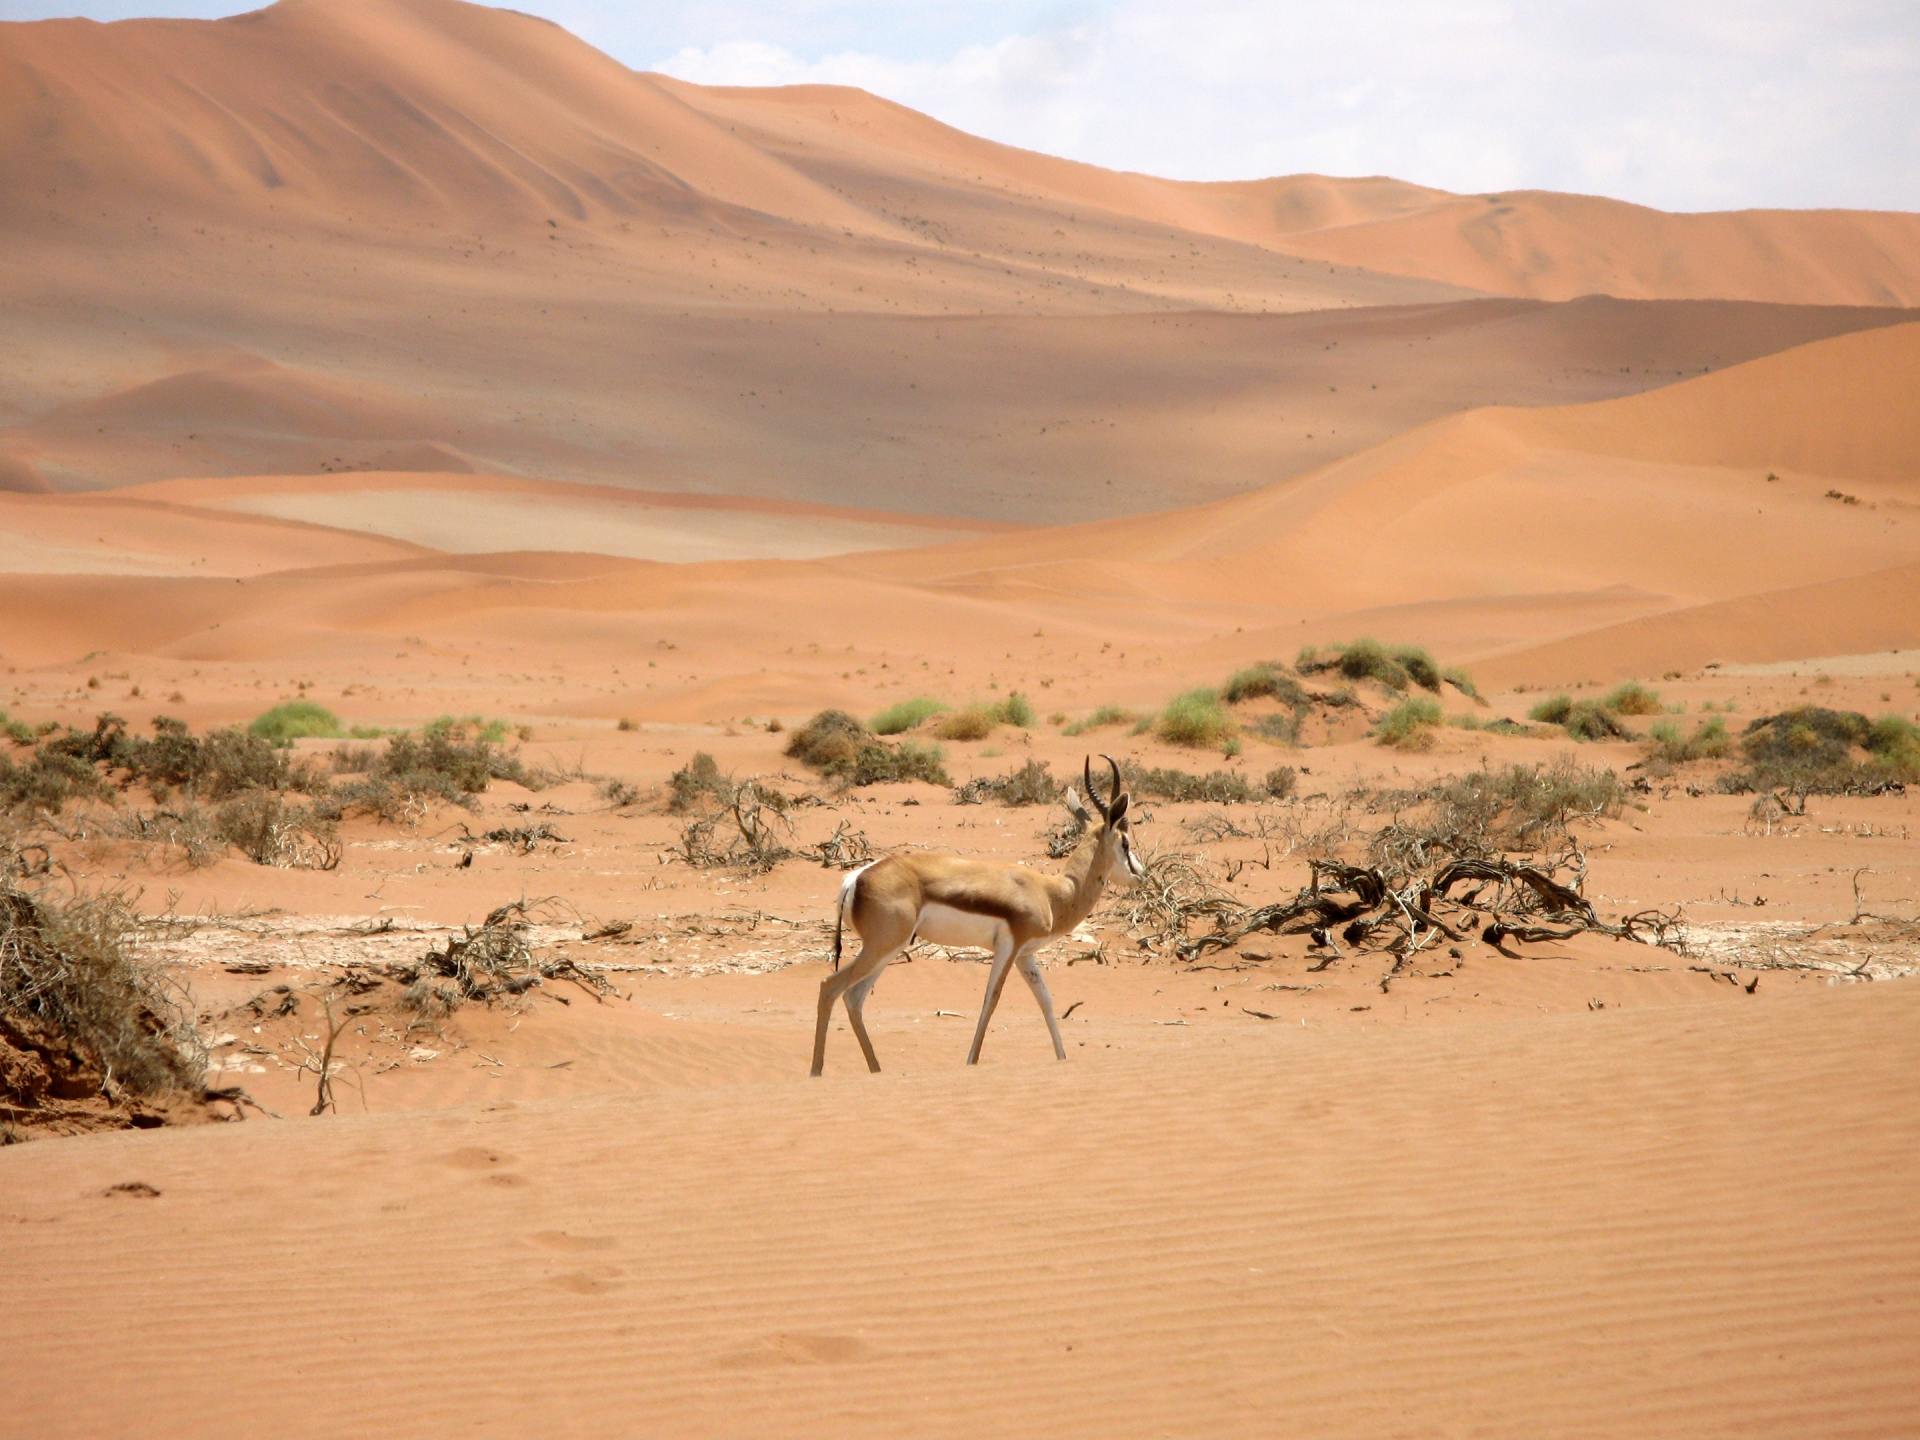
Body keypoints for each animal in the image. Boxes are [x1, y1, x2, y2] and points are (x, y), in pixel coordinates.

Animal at [810, 755, 1144, 1075]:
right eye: (1125, 842)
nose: (1140, 873)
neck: (1052, 893)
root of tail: (856, 878)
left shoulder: (1025, 955)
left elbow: (1046, 1001)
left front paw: (1063, 1059)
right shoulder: (1009, 947)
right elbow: (991, 1000)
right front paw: (972, 1061)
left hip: (888, 949)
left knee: (854, 997)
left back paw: (876, 1069)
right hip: (883, 946)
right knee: (830, 986)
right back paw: (817, 1071)